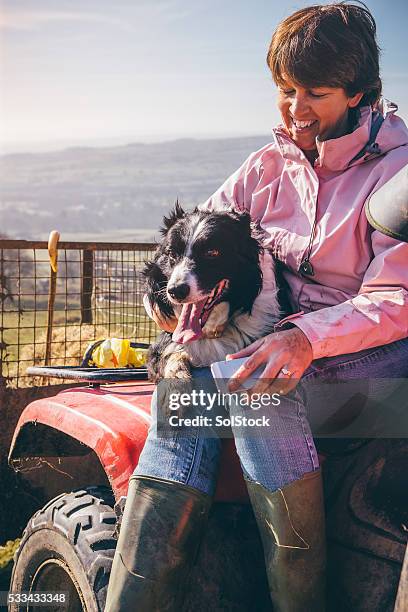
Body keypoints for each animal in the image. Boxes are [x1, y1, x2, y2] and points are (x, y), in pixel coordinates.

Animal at [143, 206, 280, 384]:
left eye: (212, 253)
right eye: (171, 253)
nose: (176, 291)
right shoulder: (160, 348)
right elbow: (169, 355)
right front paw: (178, 375)